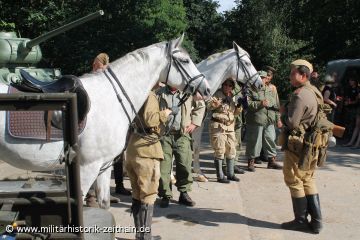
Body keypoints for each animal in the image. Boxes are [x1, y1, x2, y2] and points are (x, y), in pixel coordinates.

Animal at [0, 35, 211, 208]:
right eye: (185, 60)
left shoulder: (104, 166)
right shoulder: (87, 167)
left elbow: (104, 205)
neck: (111, 99)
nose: (207, 89)